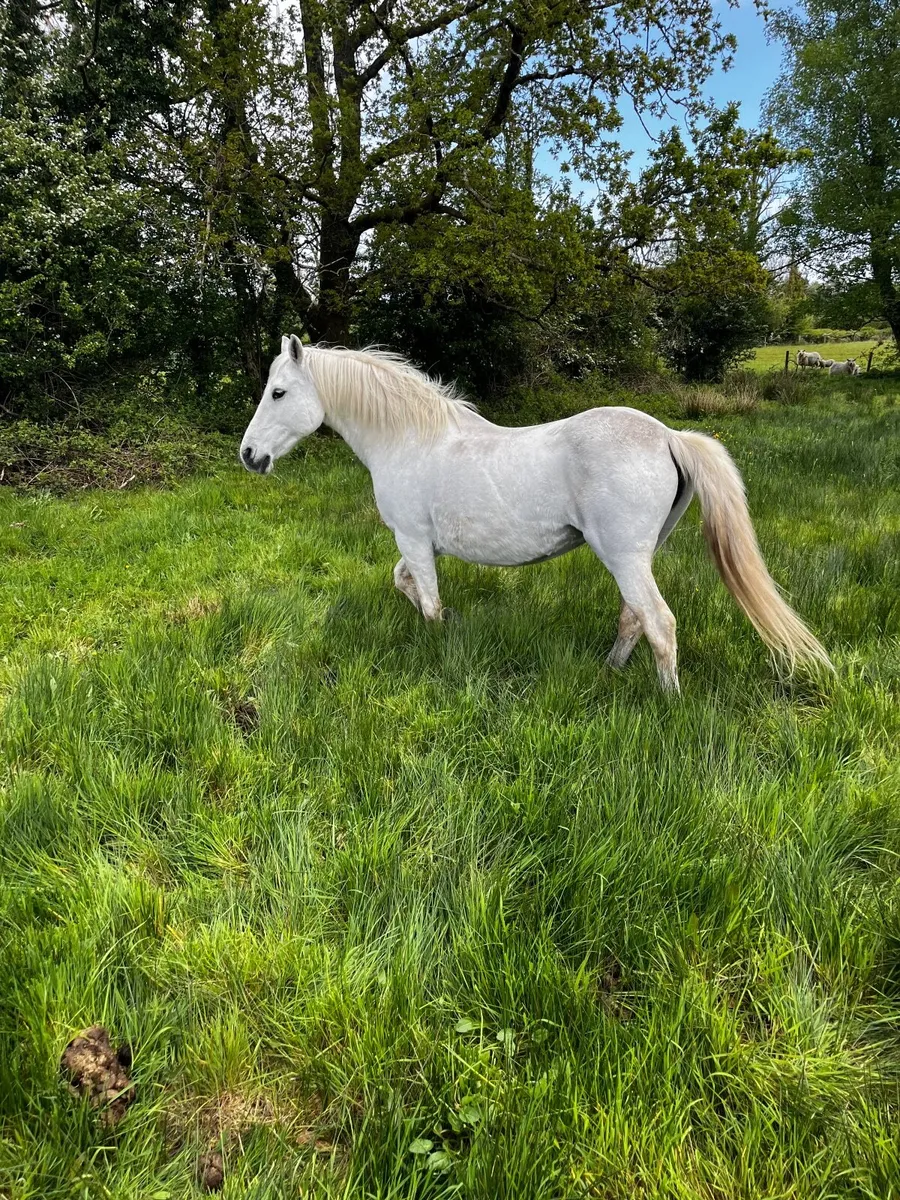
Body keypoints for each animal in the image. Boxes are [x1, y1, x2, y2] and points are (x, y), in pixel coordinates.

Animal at [240, 336, 831, 692]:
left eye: (278, 392)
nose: (249, 455)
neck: (410, 439)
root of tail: (668, 435)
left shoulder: (411, 538)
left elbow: (427, 603)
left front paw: (436, 649)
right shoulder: (418, 546)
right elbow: (404, 584)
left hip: (624, 558)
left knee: (659, 624)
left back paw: (670, 702)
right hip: (637, 559)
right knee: (634, 618)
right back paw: (607, 674)